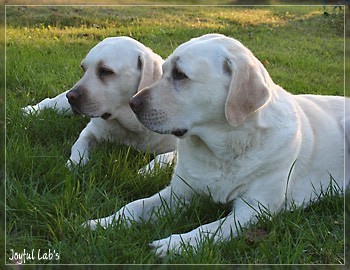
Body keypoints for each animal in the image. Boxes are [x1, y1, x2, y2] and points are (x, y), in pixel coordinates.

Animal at [23, 37, 176, 170]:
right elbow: (78, 146)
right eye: (83, 68)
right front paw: (74, 163)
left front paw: (146, 171)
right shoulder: (89, 132)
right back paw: (31, 110)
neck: (132, 127)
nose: (71, 96)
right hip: (63, 106)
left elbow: (164, 157)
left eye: (105, 71)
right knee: (49, 102)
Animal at [83, 34, 348, 258]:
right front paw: (102, 223)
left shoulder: (252, 209)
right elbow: (133, 207)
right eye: (164, 71)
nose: (132, 103)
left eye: (180, 74)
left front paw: (173, 244)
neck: (223, 149)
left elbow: (211, 230)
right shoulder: (178, 193)